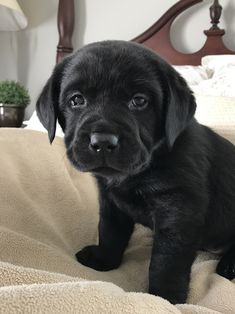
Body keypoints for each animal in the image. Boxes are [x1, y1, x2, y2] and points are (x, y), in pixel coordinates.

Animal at [36, 41, 235, 304]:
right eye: (77, 99)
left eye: (139, 101)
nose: (102, 141)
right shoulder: (111, 202)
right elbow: (109, 232)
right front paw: (104, 259)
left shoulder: (178, 211)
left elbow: (167, 262)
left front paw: (165, 298)